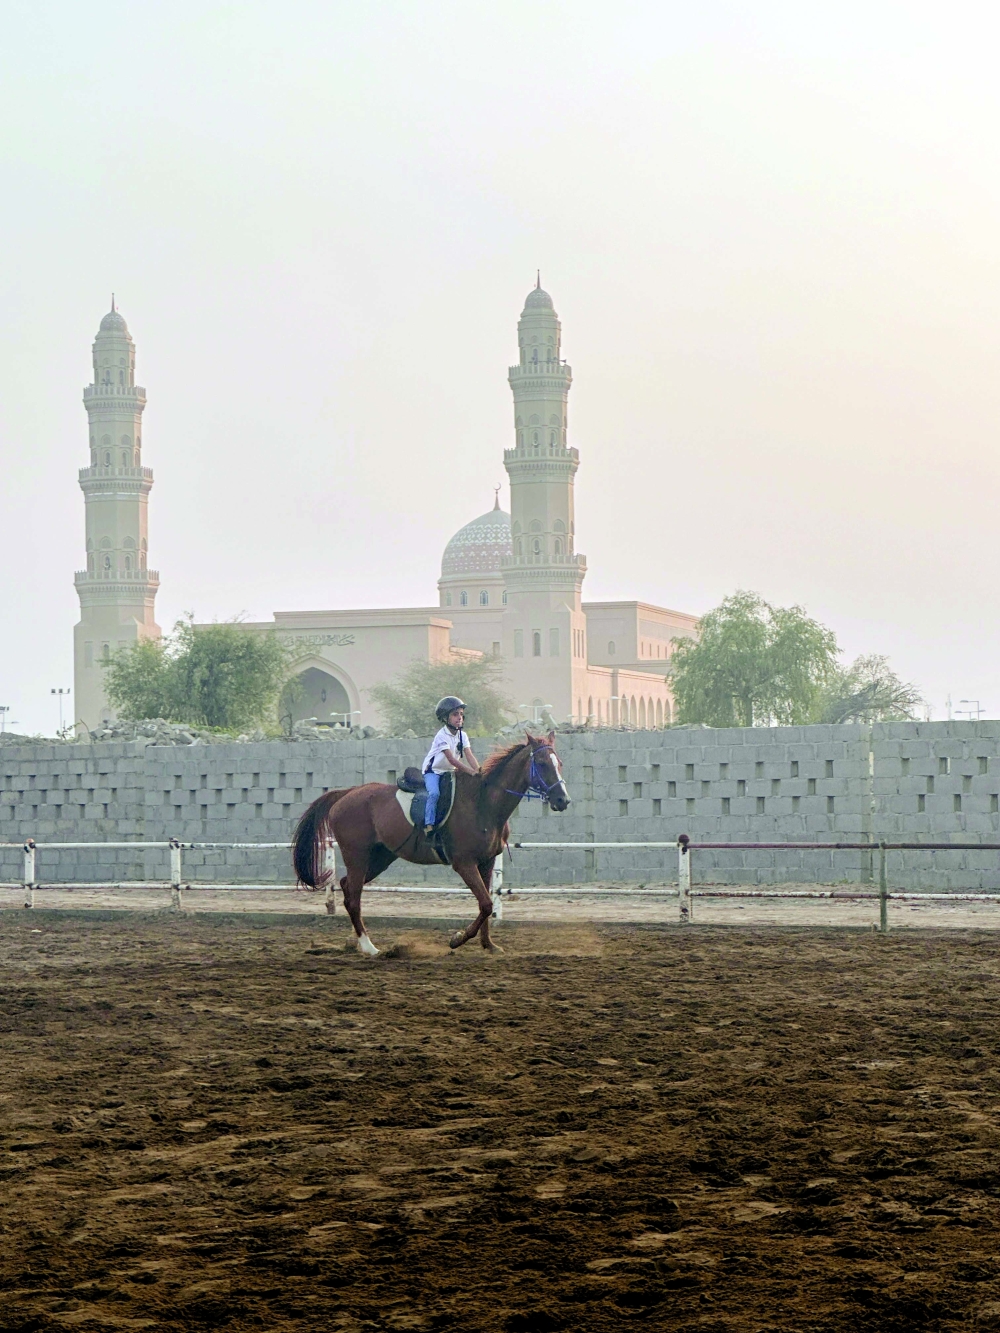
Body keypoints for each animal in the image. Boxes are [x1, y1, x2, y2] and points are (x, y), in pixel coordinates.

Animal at [291, 731, 570, 956]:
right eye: (542, 763)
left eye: (559, 763)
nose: (563, 800)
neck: (482, 804)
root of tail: (346, 794)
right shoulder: (464, 864)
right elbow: (486, 904)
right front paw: (457, 939)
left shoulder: (487, 862)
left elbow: (487, 906)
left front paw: (489, 945)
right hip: (357, 857)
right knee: (354, 899)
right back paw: (370, 947)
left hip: (380, 858)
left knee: (348, 887)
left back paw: (357, 942)